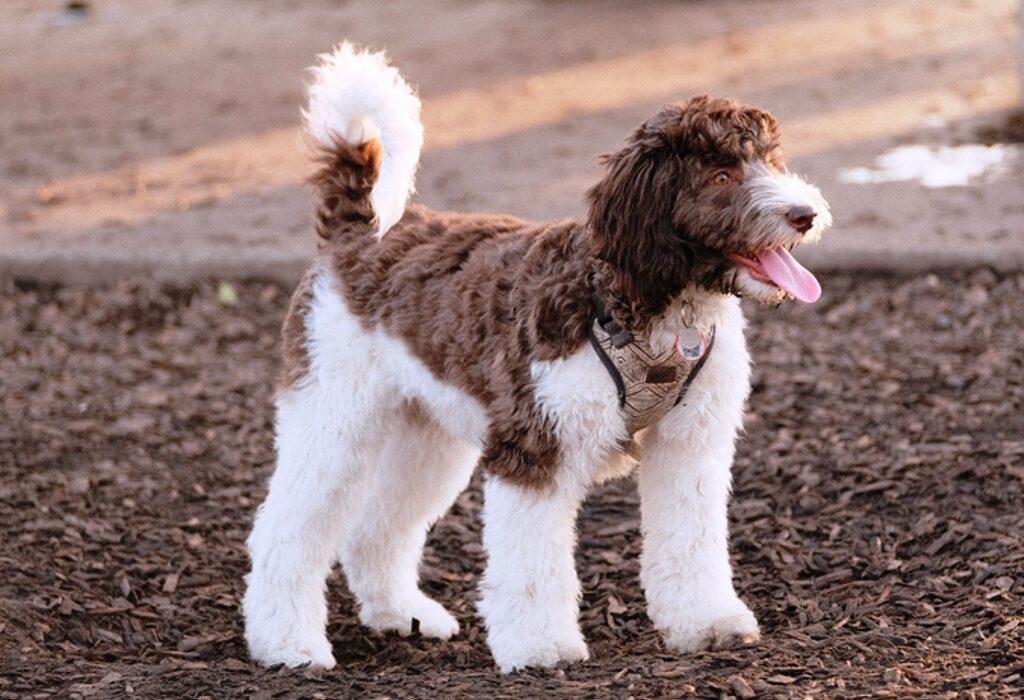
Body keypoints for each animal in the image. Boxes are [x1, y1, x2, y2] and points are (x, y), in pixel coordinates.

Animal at [241, 42, 831, 671]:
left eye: (771, 160)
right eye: (721, 176)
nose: (806, 214)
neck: (639, 305)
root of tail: (354, 232)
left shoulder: (691, 447)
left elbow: (692, 543)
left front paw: (708, 622)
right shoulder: (534, 449)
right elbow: (532, 564)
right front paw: (540, 645)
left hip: (428, 436)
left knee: (375, 529)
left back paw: (403, 615)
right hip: (333, 420)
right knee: (285, 532)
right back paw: (288, 644)